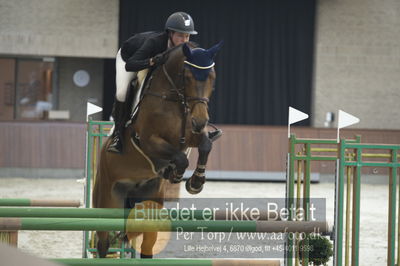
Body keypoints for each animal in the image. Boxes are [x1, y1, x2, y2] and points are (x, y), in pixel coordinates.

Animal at [92, 41, 223, 258]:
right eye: (187, 77)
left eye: (212, 77)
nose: (200, 121)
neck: (174, 98)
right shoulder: (148, 141)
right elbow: (181, 158)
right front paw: (176, 173)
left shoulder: (190, 136)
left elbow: (206, 145)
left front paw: (195, 182)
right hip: (107, 199)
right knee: (103, 242)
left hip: (148, 198)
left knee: (146, 243)